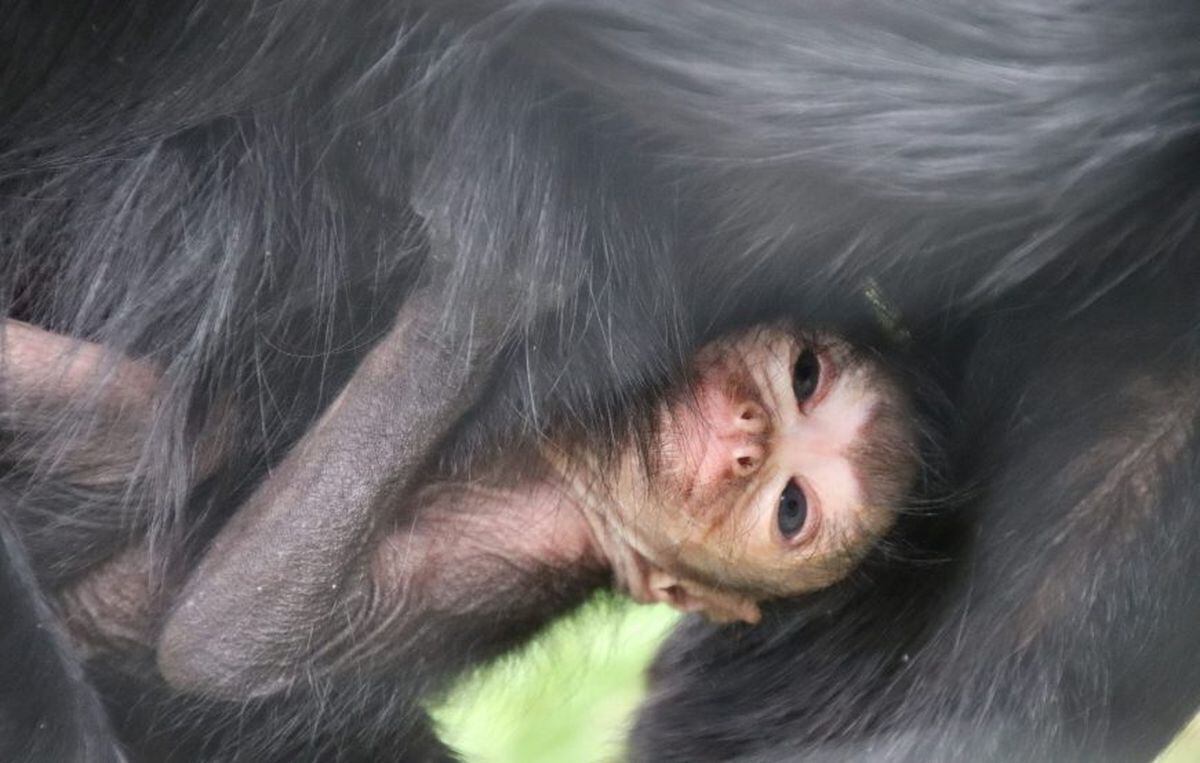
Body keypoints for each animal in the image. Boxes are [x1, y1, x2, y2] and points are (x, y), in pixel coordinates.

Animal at [0, 1, 1195, 763]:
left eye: (791, 508)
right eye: (802, 377)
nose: (746, 430)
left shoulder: (520, 545)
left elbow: (229, 636)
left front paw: (497, 277)